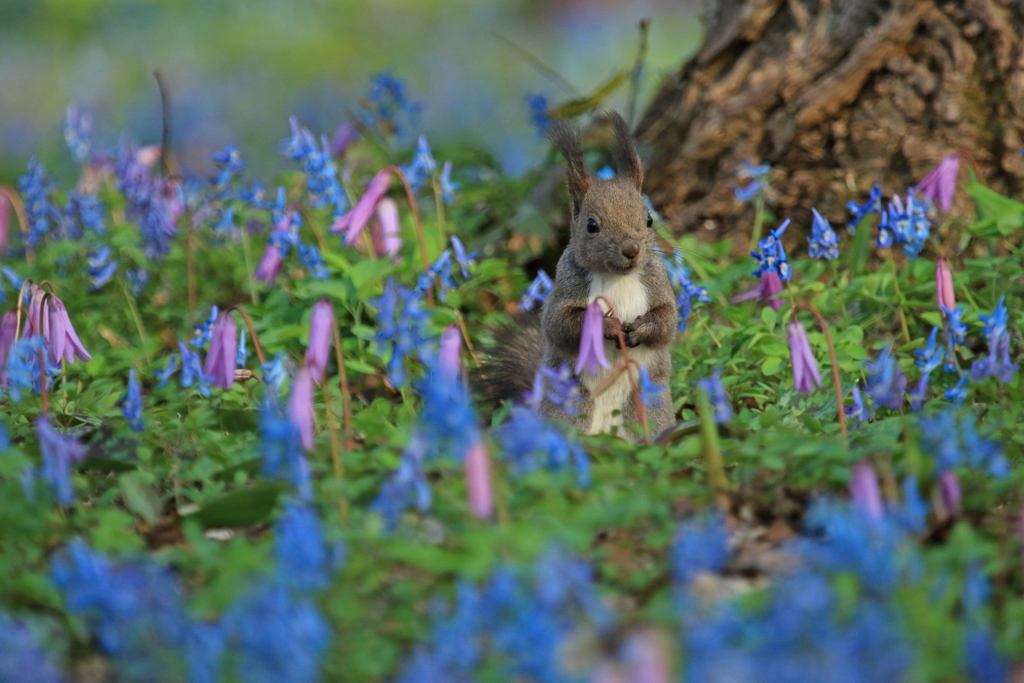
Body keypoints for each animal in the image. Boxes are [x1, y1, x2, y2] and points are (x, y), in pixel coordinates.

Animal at [473, 112, 679, 440]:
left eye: (648, 219)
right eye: (592, 225)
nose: (632, 250)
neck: (617, 277)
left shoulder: (656, 282)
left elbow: (668, 320)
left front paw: (642, 328)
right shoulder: (566, 286)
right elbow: (560, 324)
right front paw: (607, 326)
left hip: (650, 410)